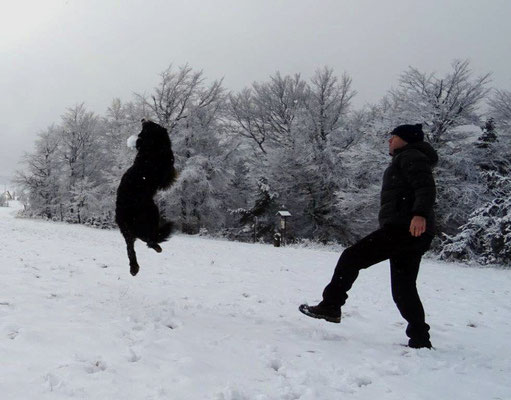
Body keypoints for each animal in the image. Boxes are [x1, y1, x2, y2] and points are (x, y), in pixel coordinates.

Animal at [115, 119, 177, 276]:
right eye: (151, 125)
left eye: (143, 128)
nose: (143, 119)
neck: (151, 149)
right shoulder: (166, 171)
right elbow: (172, 172)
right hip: (153, 212)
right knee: (148, 240)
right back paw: (156, 247)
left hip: (126, 231)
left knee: (131, 248)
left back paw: (134, 267)